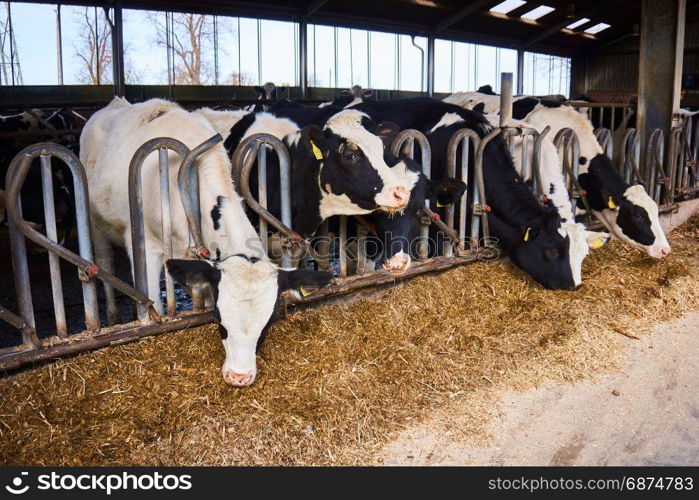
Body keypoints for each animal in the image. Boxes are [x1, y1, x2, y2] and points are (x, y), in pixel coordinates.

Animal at [81, 97, 334, 386]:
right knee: (103, 261)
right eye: (220, 320)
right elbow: (154, 304)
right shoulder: (146, 248)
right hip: (95, 223)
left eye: (268, 323)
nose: (239, 377)